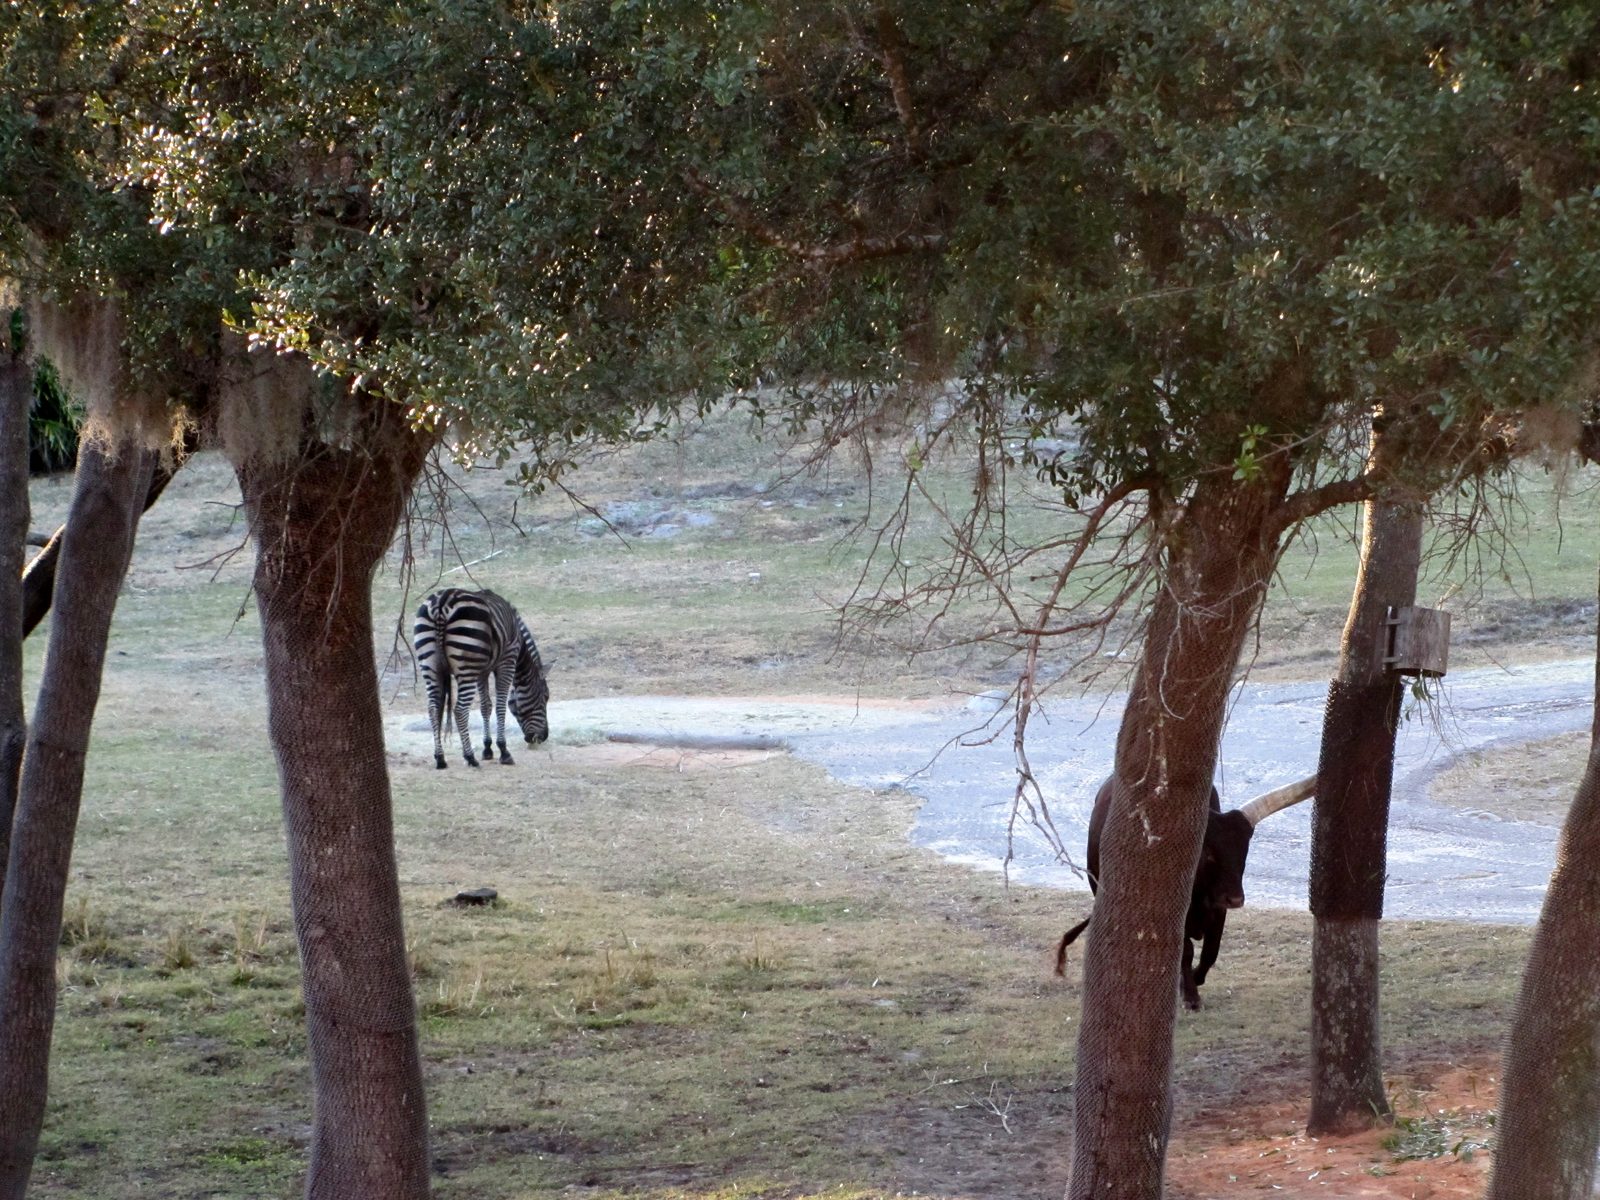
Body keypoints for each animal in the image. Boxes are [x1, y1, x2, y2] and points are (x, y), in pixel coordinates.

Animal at [413, 587, 550, 769]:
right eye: (545, 697)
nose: (544, 736)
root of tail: (442, 601)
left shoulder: (482, 671)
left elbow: (486, 706)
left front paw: (487, 749)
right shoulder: (507, 660)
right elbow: (500, 706)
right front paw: (503, 751)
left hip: (430, 665)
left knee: (434, 709)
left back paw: (440, 758)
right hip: (467, 664)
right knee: (460, 710)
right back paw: (470, 756)